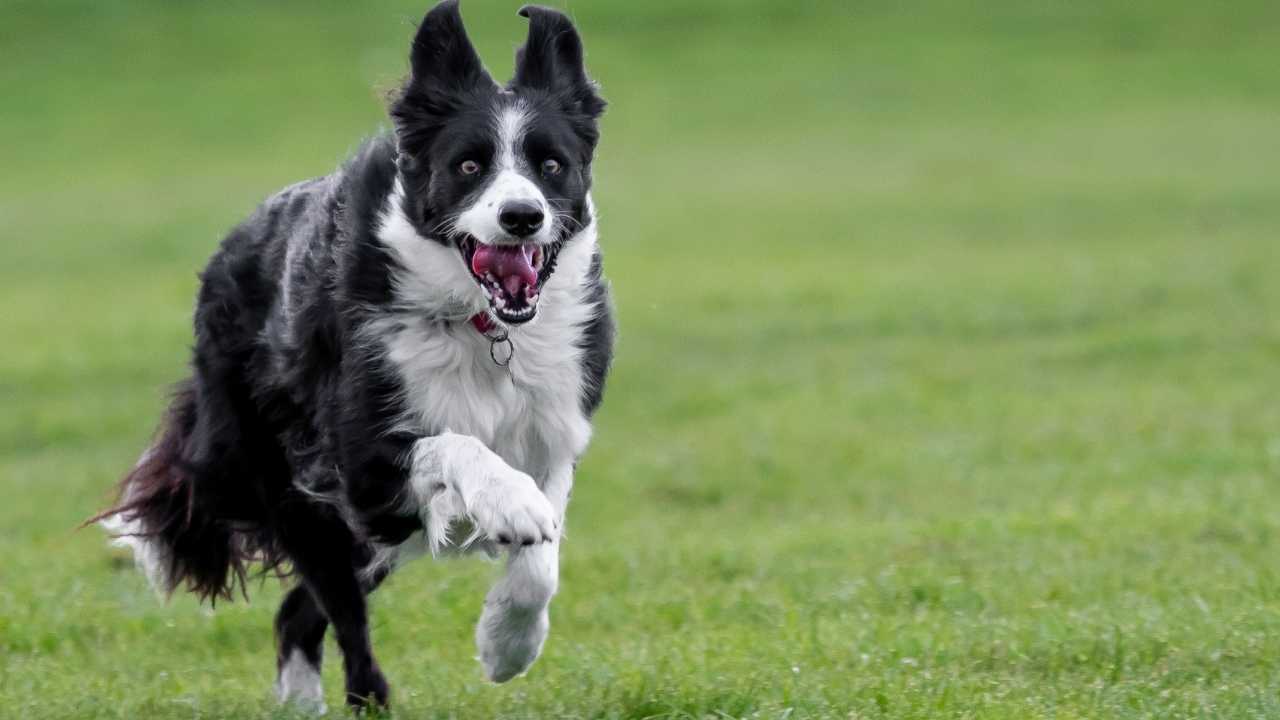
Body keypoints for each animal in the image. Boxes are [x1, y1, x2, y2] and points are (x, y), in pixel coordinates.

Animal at [93, 0, 609, 707]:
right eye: (468, 166)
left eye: (551, 165)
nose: (522, 216)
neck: (484, 328)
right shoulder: (360, 469)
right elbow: (456, 444)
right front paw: (506, 503)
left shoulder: (552, 432)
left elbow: (541, 560)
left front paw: (507, 646)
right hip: (295, 492)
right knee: (339, 617)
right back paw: (353, 701)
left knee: (296, 612)